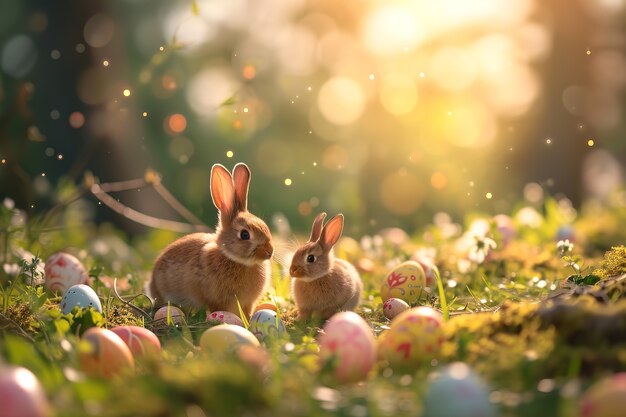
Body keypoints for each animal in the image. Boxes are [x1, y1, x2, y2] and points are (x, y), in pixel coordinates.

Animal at [149, 162, 272, 316]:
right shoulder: (216, 299)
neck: (236, 260)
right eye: (245, 235)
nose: (270, 252)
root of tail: (151, 284)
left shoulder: (248, 303)